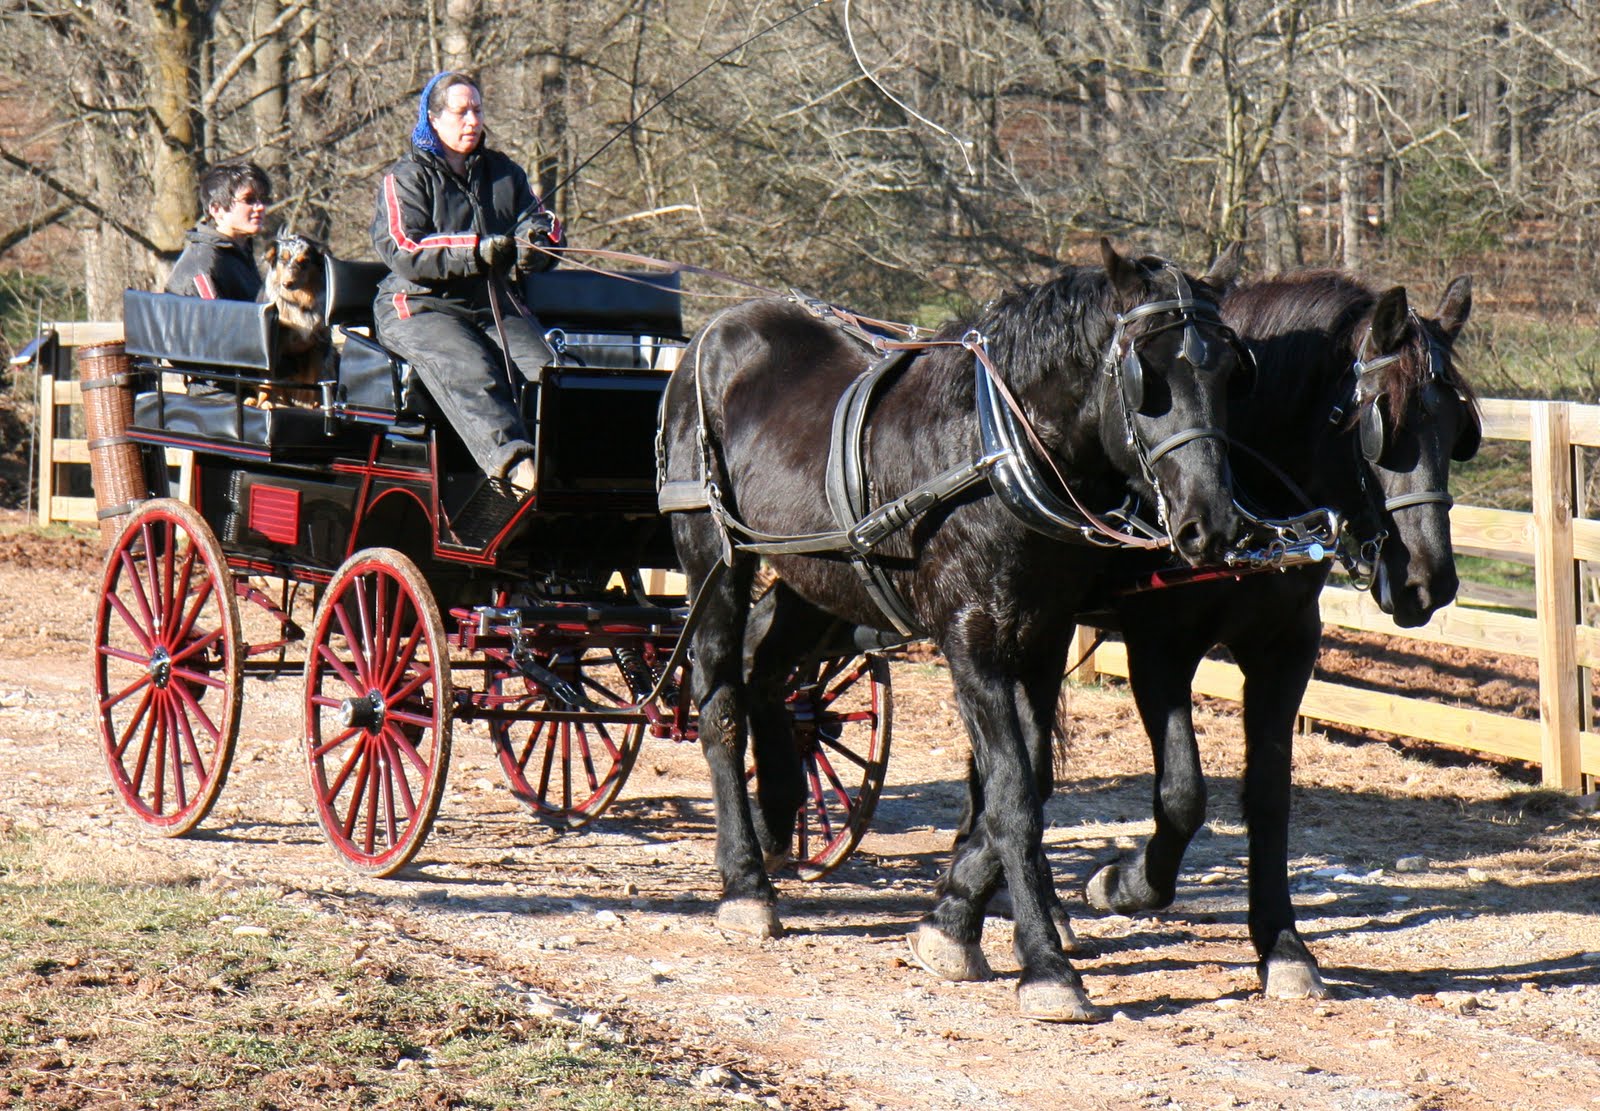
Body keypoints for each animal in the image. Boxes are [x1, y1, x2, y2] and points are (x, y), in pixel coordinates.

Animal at [659, 240, 1250, 1022]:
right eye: (1147, 374)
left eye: (1230, 371)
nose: (1211, 523)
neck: (997, 448)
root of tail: (713, 331)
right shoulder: (974, 642)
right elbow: (1011, 797)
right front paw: (1046, 966)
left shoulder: (1042, 637)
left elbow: (1027, 779)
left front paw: (957, 917)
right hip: (714, 557)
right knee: (721, 696)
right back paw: (745, 883)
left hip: (814, 574)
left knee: (766, 670)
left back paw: (780, 830)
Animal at [950, 266, 1478, 1003]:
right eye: (1379, 420)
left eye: (1457, 426)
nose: (1429, 581)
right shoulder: (1158, 648)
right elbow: (1182, 792)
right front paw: (1125, 882)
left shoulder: (1285, 648)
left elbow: (1270, 795)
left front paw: (1282, 944)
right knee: (1019, 765)